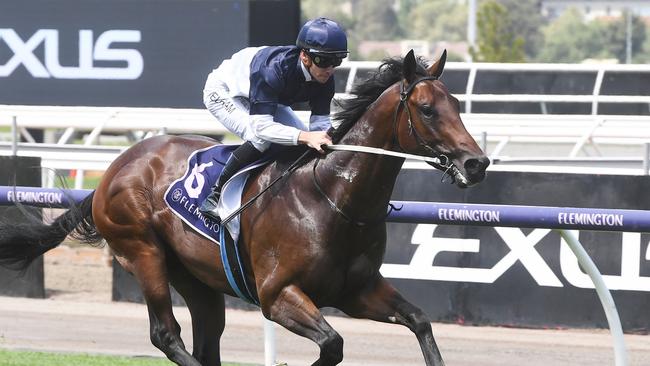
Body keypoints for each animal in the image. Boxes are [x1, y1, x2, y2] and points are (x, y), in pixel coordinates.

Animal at [0, 49, 486, 366]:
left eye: (457, 105)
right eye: (427, 109)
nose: (476, 163)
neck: (330, 197)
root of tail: (113, 171)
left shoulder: (358, 290)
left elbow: (421, 322)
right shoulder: (278, 295)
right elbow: (332, 345)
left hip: (197, 278)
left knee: (206, 340)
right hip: (143, 253)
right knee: (166, 334)